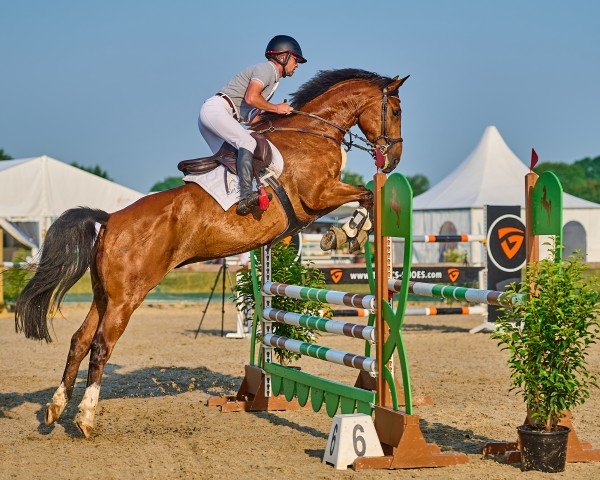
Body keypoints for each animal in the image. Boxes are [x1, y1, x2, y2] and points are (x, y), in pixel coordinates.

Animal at [14, 68, 408, 438]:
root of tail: (110, 219)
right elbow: (365, 195)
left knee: (79, 341)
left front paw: (345, 232)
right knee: (100, 346)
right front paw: (347, 232)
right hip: (126, 298)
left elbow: (365, 197)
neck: (312, 132)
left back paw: (56, 408)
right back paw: (85, 418)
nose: (393, 160)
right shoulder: (319, 194)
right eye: (396, 110)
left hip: (103, 295)